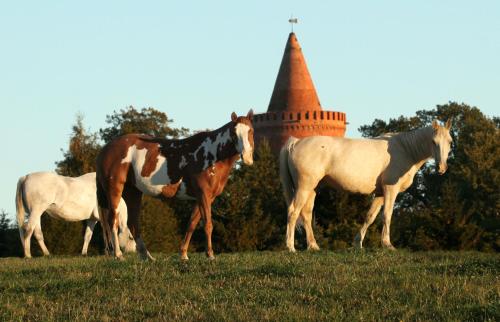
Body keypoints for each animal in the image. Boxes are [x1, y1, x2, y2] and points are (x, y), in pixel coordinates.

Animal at [96, 109, 254, 260]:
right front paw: (210, 255)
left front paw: (183, 254)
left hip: (133, 192)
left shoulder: (204, 197)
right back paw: (118, 255)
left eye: (251, 131)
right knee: (113, 220)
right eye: (234, 133)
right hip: (114, 189)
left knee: (133, 224)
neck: (212, 154)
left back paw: (147, 256)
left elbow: (191, 224)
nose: (246, 157)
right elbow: (208, 224)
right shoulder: (204, 194)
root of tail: (106, 149)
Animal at [280, 119, 456, 250]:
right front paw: (387, 244)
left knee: (306, 214)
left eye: (450, 141)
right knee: (293, 212)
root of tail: (295, 142)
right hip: (304, 188)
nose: (441, 168)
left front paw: (358, 244)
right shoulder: (390, 190)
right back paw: (290, 247)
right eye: (433, 142)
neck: (405, 149)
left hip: (312, 189)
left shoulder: (380, 193)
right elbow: (387, 215)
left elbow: (370, 217)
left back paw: (313, 246)